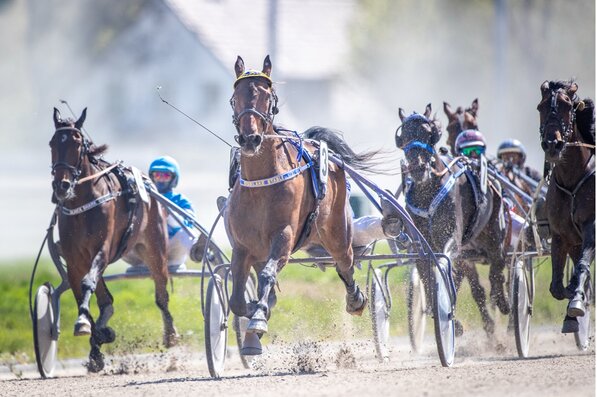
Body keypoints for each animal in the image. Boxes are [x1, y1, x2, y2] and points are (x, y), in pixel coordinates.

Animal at [49, 106, 176, 370]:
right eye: (52, 143)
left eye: (78, 143)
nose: (61, 185)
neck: (83, 203)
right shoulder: (75, 259)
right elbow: (82, 292)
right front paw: (96, 338)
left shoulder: (103, 249)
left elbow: (88, 282)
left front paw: (89, 327)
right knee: (105, 298)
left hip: (155, 247)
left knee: (161, 294)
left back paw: (170, 335)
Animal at [224, 55, 378, 352]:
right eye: (235, 98)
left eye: (268, 96)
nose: (250, 139)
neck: (261, 185)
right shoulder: (242, 247)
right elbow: (237, 299)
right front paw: (256, 312)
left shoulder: (284, 237)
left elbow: (268, 275)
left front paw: (258, 318)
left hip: (337, 231)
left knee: (345, 262)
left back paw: (356, 299)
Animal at [396, 102, 508, 334]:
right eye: (403, 136)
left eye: (429, 133)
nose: (418, 167)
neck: (427, 193)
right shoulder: (421, 246)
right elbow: (427, 279)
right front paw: (448, 319)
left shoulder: (451, 239)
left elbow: (445, 268)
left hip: (494, 230)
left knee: (497, 264)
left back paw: (502, 301)